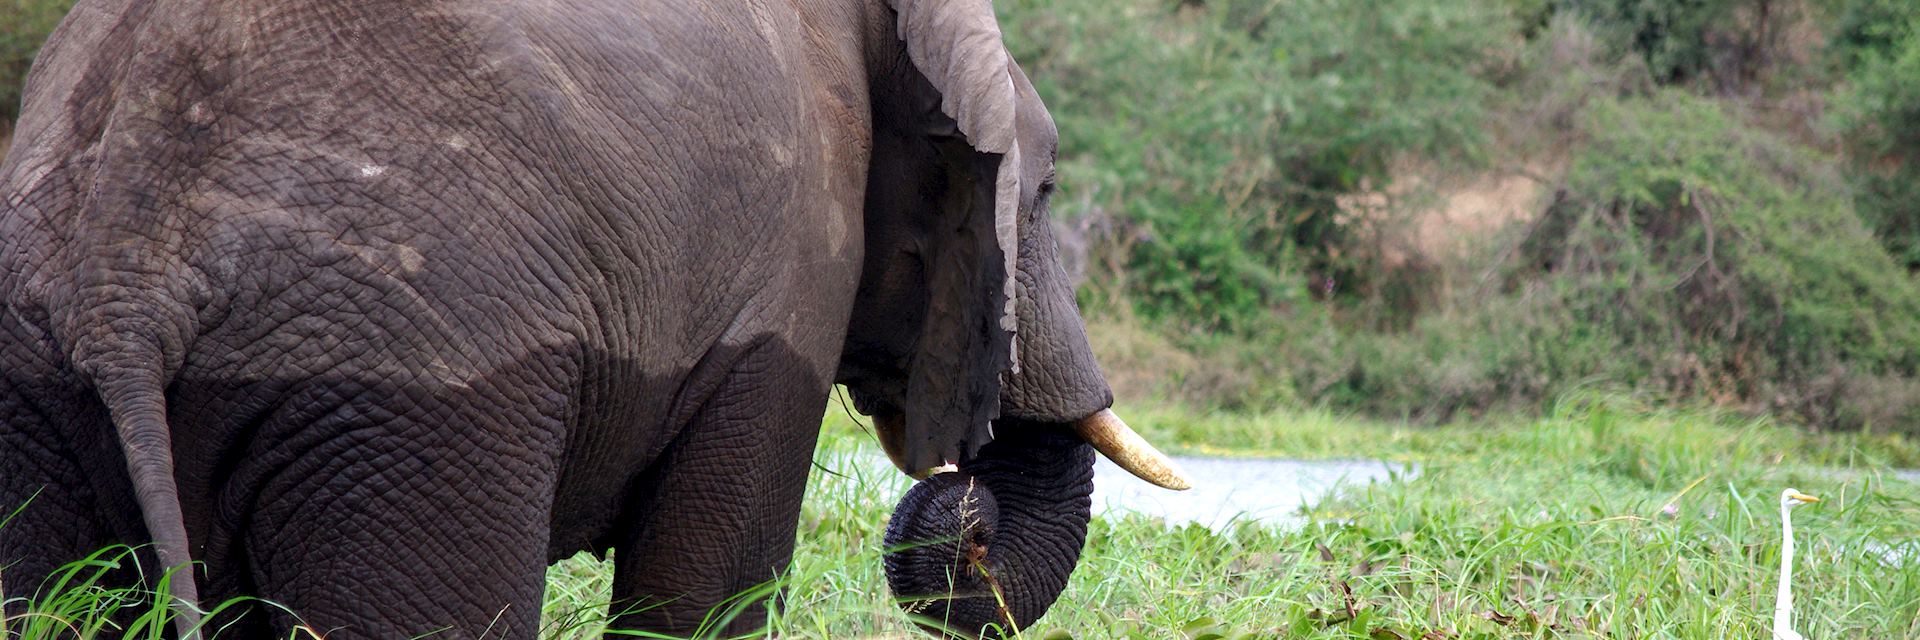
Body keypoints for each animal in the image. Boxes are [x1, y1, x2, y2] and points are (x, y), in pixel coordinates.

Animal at [0, 0, 1190, 634]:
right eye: (1045, 190)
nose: (966, 516)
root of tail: (124, 278)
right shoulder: (790, 274)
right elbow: (703, 591)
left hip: (39, 380)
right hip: (417, 397)